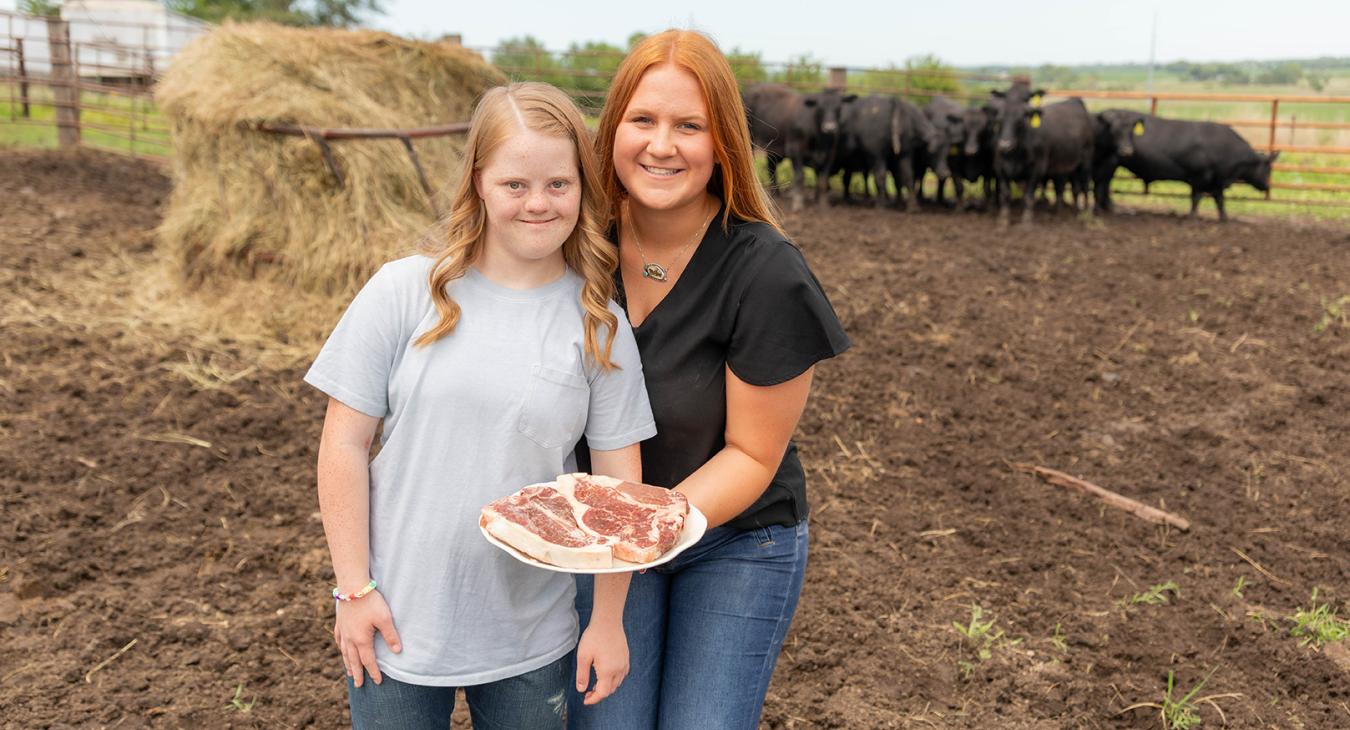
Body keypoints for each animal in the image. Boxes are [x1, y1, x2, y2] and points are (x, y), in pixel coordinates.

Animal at [993, 89, 1096, 223]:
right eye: (999, 120)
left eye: (1020, 120)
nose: (1005, 145)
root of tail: (1075, 101)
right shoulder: (1000, 169)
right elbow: (1005, 195)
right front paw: (1003, 220)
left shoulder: (1037, 169)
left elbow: (1028, 196)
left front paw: (1026, 220)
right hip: (1068, 166)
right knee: (1070, 188)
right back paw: (1067, 211)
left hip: (1086, 160)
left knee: (1086, 186)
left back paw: (1087, 213)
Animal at [1090, 112, 1279, 219]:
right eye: (1268, 167)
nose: (1267, 186)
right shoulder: (1199, 176)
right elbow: (1197, 197)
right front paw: (1193, 216)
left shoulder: (1216, 180)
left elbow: (1219, 199)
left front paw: (1224, 217)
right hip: (1109, 163)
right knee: (1102, 183)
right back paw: (1103, 209)